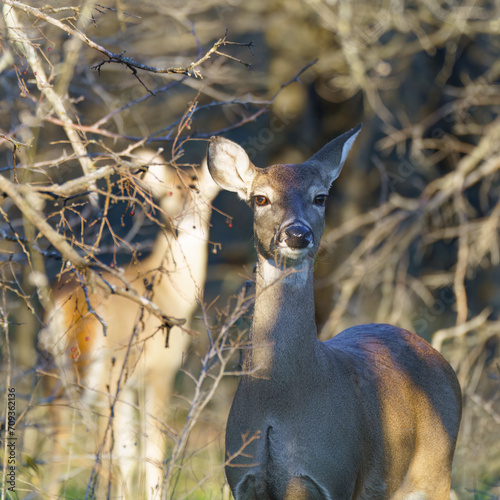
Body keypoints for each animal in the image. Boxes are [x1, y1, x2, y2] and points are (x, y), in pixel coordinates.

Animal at [42, 149, 222, 500]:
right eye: (170, 192)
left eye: (201, 193)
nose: (187, 219)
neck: (169, 293)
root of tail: (70, 303)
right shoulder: (161, 368)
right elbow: (152, 450)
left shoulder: (130, 383)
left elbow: (130, 453)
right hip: (104, 371)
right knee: (101, 449)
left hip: (52, 369)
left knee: (59, 438)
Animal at [206, 126, 460, 500]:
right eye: (260, 199)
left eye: (320, 197)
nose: (297, 233)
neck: (277, 402)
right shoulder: (240, 479)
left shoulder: (334, 475)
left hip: (436, 467)